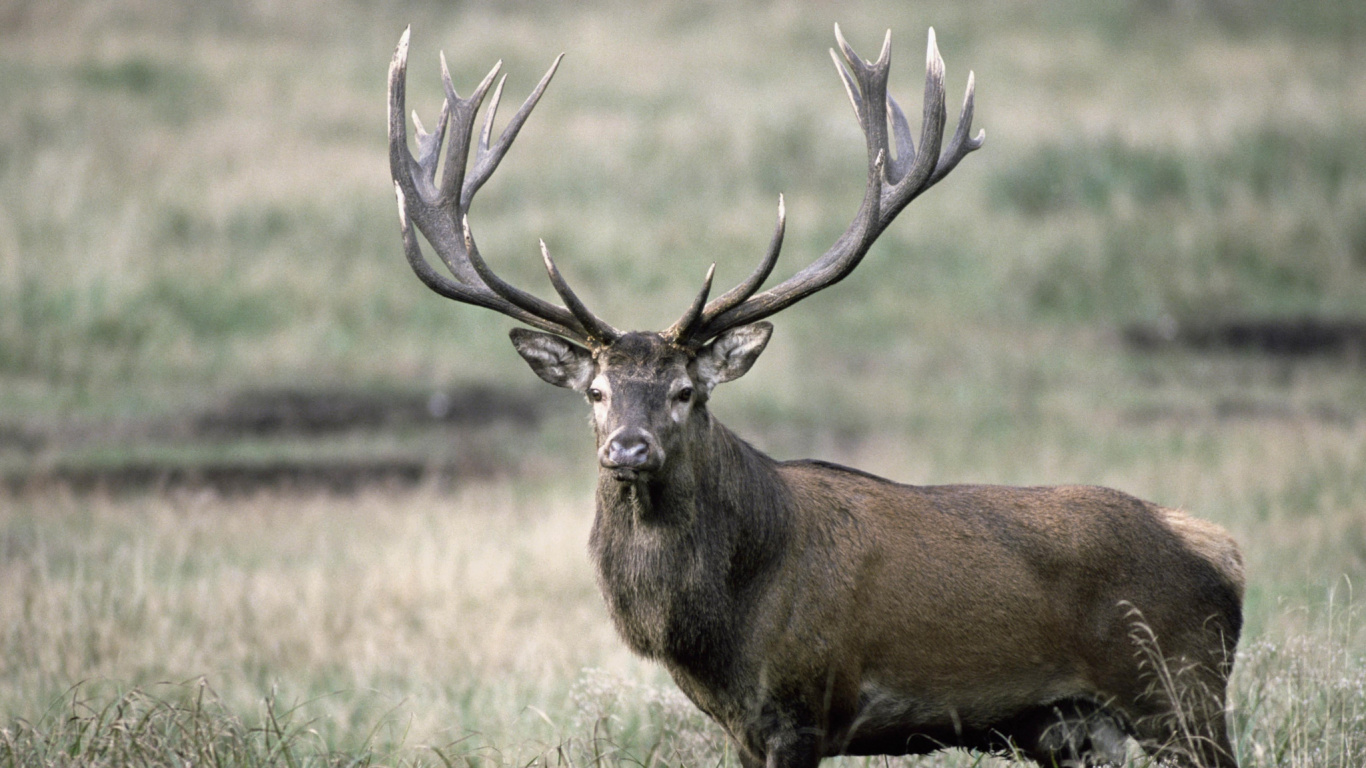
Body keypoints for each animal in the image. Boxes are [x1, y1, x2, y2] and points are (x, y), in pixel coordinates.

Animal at [386, 23, 1244, 768]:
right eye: (595, 390)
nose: (627, 448)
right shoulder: (741, 728)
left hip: (1181, 690)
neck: (722, 627)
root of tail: (1223, 551)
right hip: (1078, 728)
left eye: (685, 391)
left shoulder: (806, 707)